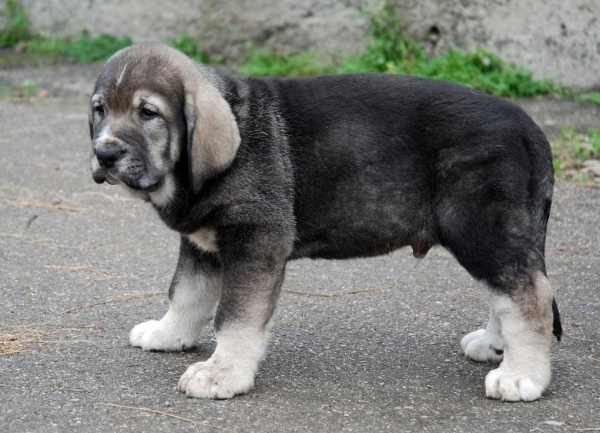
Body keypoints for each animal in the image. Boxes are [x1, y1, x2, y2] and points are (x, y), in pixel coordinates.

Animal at [88, 42, 564, 400]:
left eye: (148, 113)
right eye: (99, 110)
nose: (104, 154)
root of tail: (531, 130)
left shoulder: (254, 239)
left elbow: (234, 315)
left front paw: (223, 372)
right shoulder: (203, 242)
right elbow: (186, 292)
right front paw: (170, 333)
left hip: (478, 226)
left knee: (528, 293)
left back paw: (522, 375)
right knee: (505, 288)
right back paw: (495, 344)